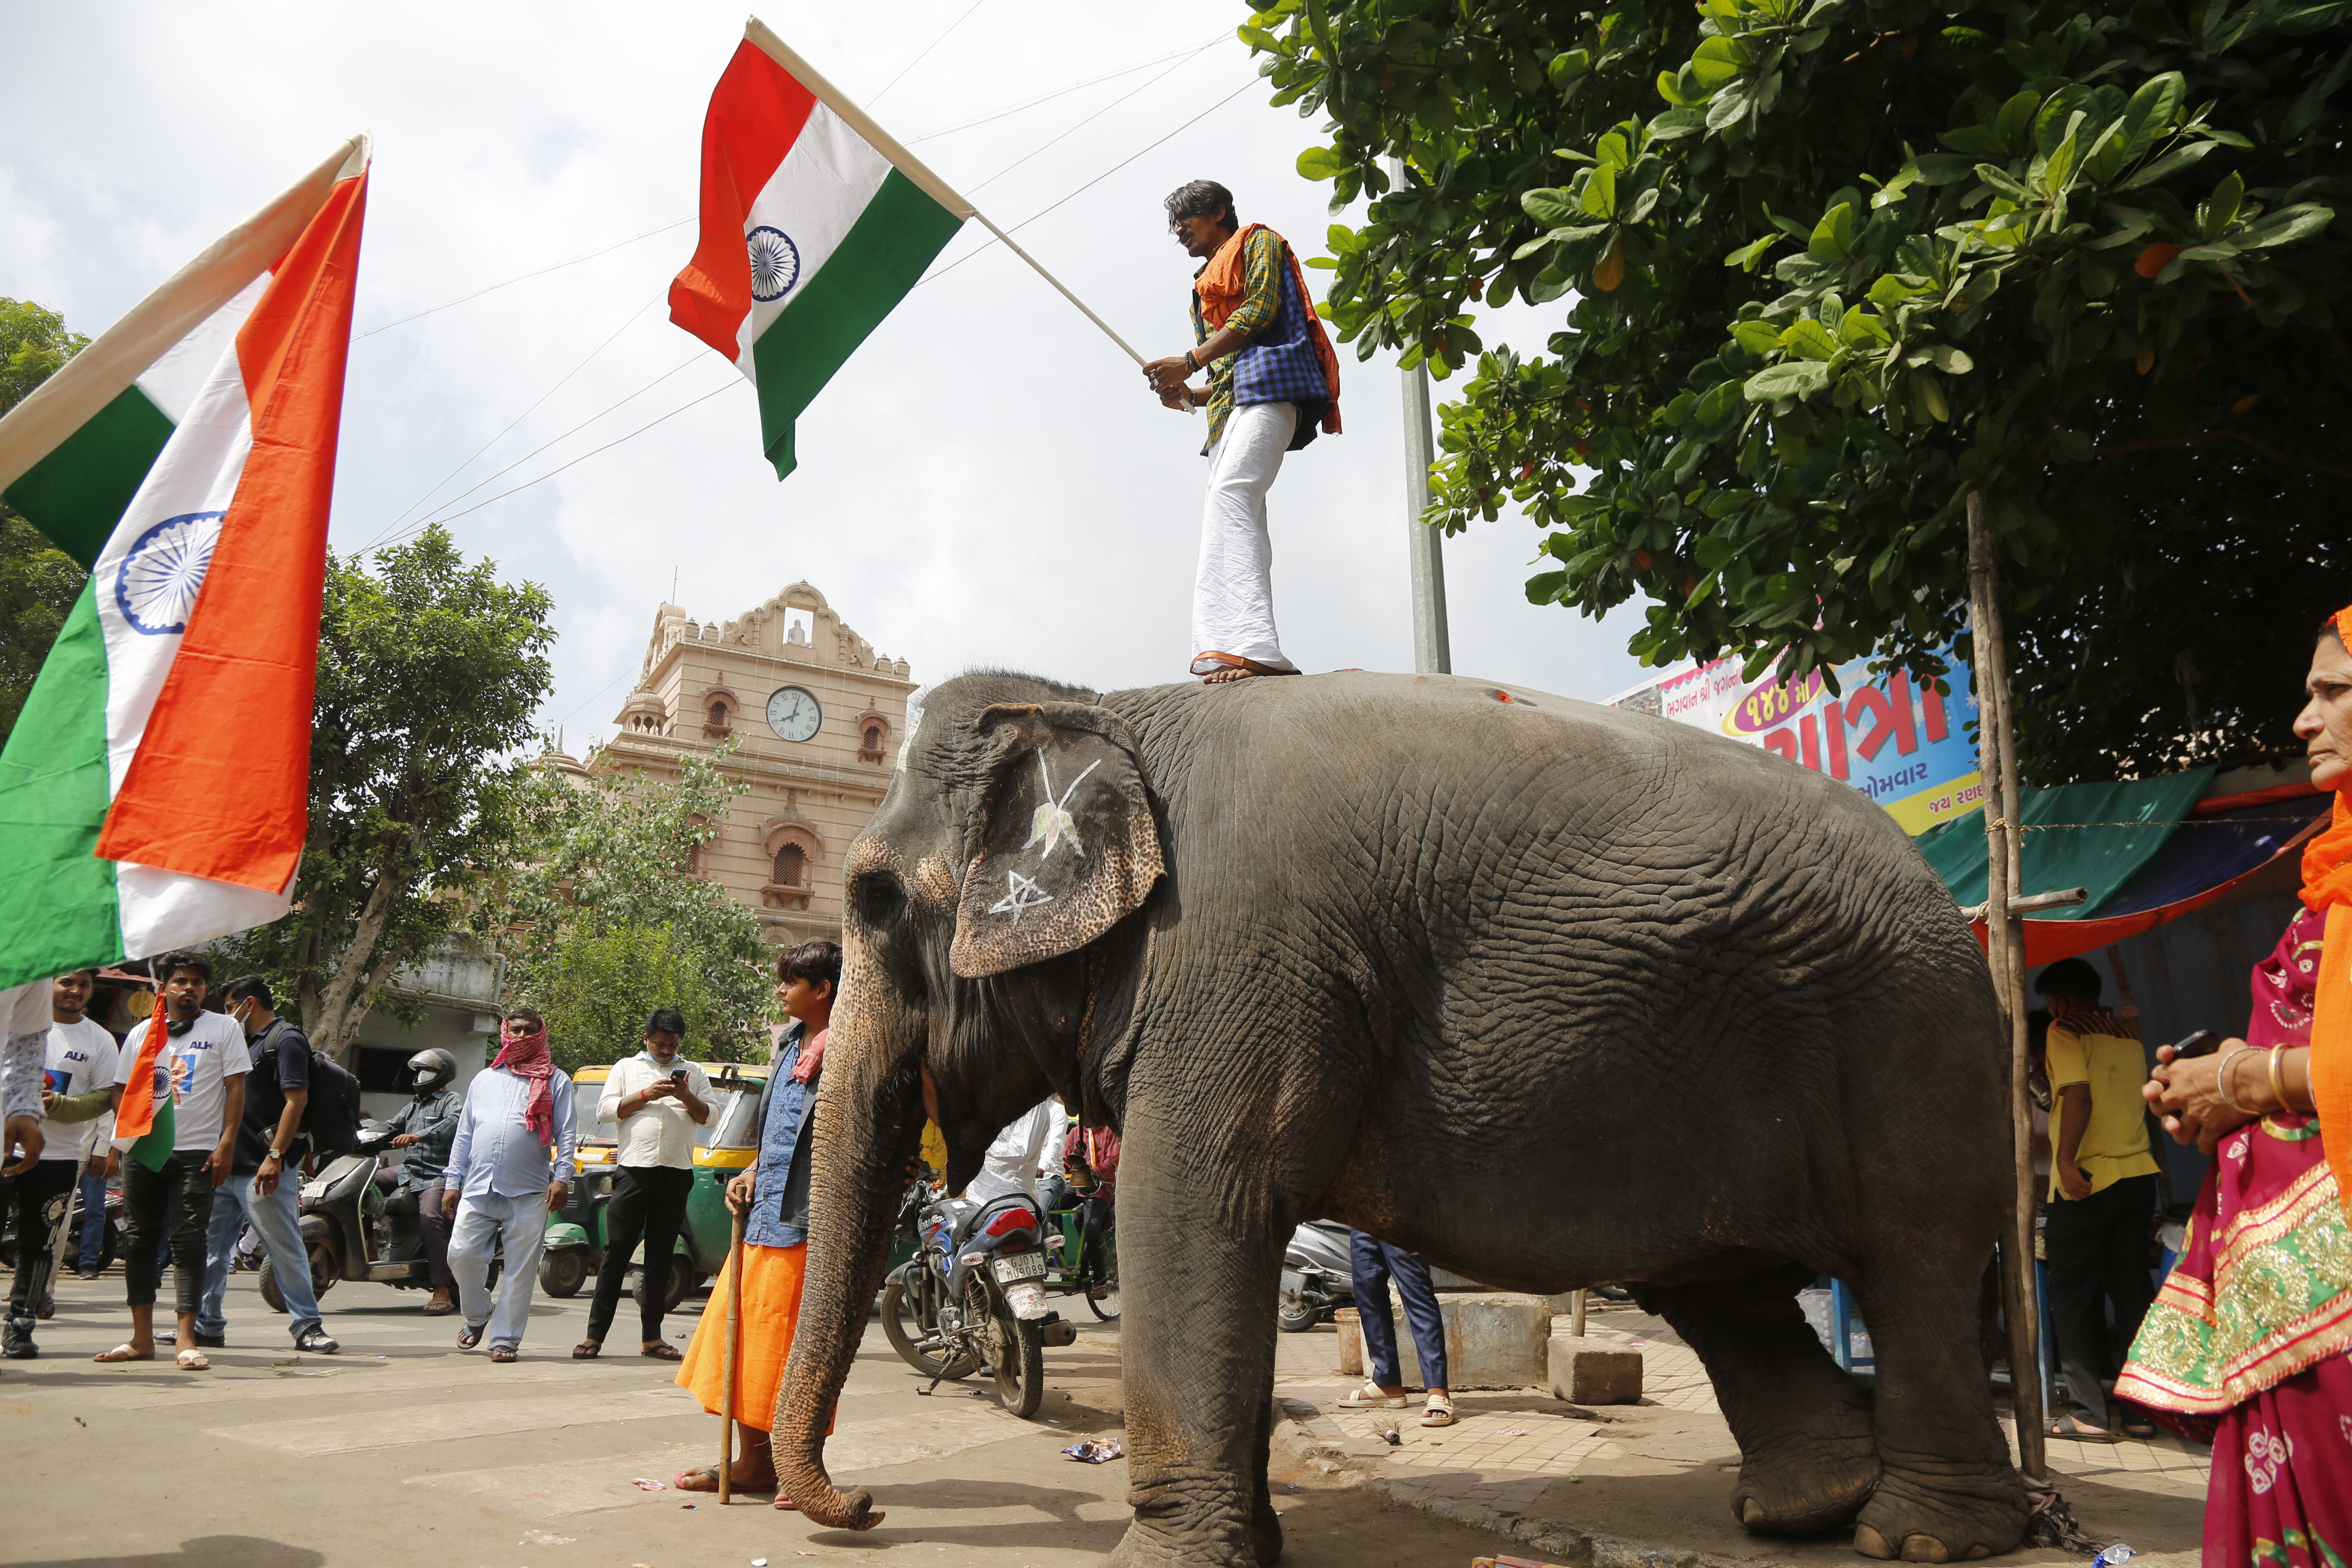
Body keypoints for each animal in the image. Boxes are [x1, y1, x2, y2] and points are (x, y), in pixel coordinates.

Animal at [771, 672, 2022, 1568]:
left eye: (874, 899)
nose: (864, 1504)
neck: (1104, 706)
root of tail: (1949, 892)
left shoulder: (1233, 962)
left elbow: (1187, 1210)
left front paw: (1163, 1561)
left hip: (1914, 1038)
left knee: (1915, 1264)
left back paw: (1917, 1535)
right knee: (1722, 1285)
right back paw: (1803, 1507)